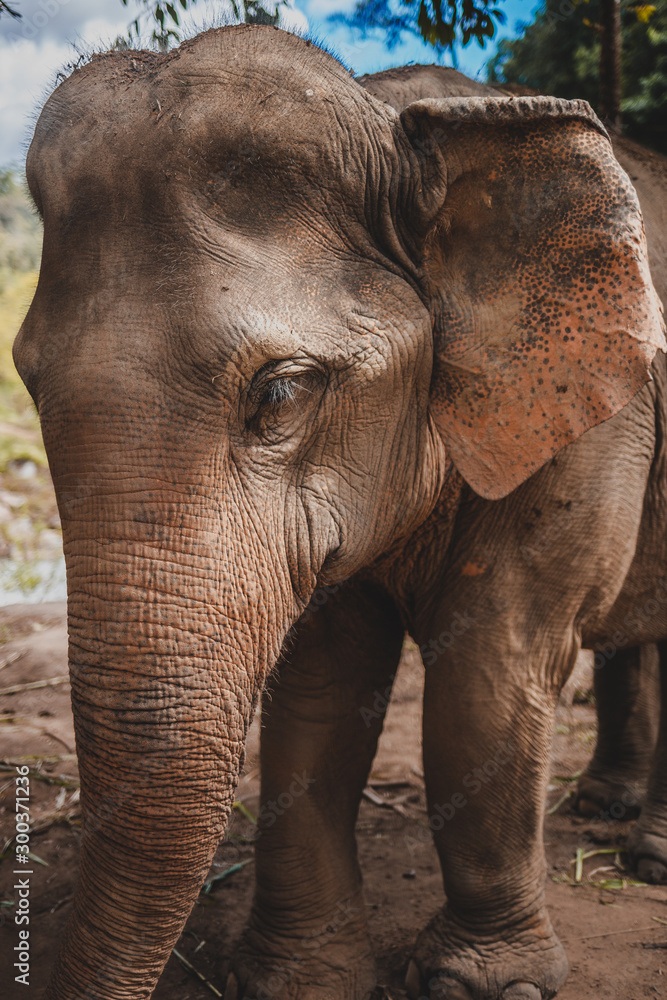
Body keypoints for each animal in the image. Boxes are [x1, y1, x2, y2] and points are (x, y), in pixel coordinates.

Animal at [13, 24, 667, 1000]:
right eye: (29, 382)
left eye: (278, 394)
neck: (396, 118)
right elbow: (322, 677)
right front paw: (297, 980)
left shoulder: (587, 406)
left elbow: (489, 660)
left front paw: (479, 984)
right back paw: (608, 807)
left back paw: (647, 857)